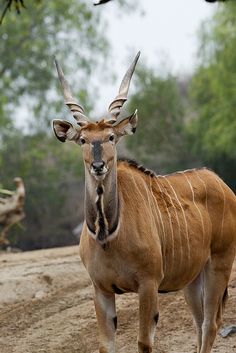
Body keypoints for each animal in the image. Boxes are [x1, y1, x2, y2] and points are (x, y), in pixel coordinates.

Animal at [52, 52, 236, 352]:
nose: (99, 165)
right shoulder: (101, 290)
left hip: (220, 264)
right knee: (199, 324)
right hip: (192, 278)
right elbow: (106, 345)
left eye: (111, 137)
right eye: (82, 139)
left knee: (211, 324)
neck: (108, 234)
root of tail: (221, 183)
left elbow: (144, 342)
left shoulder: (148, 284)